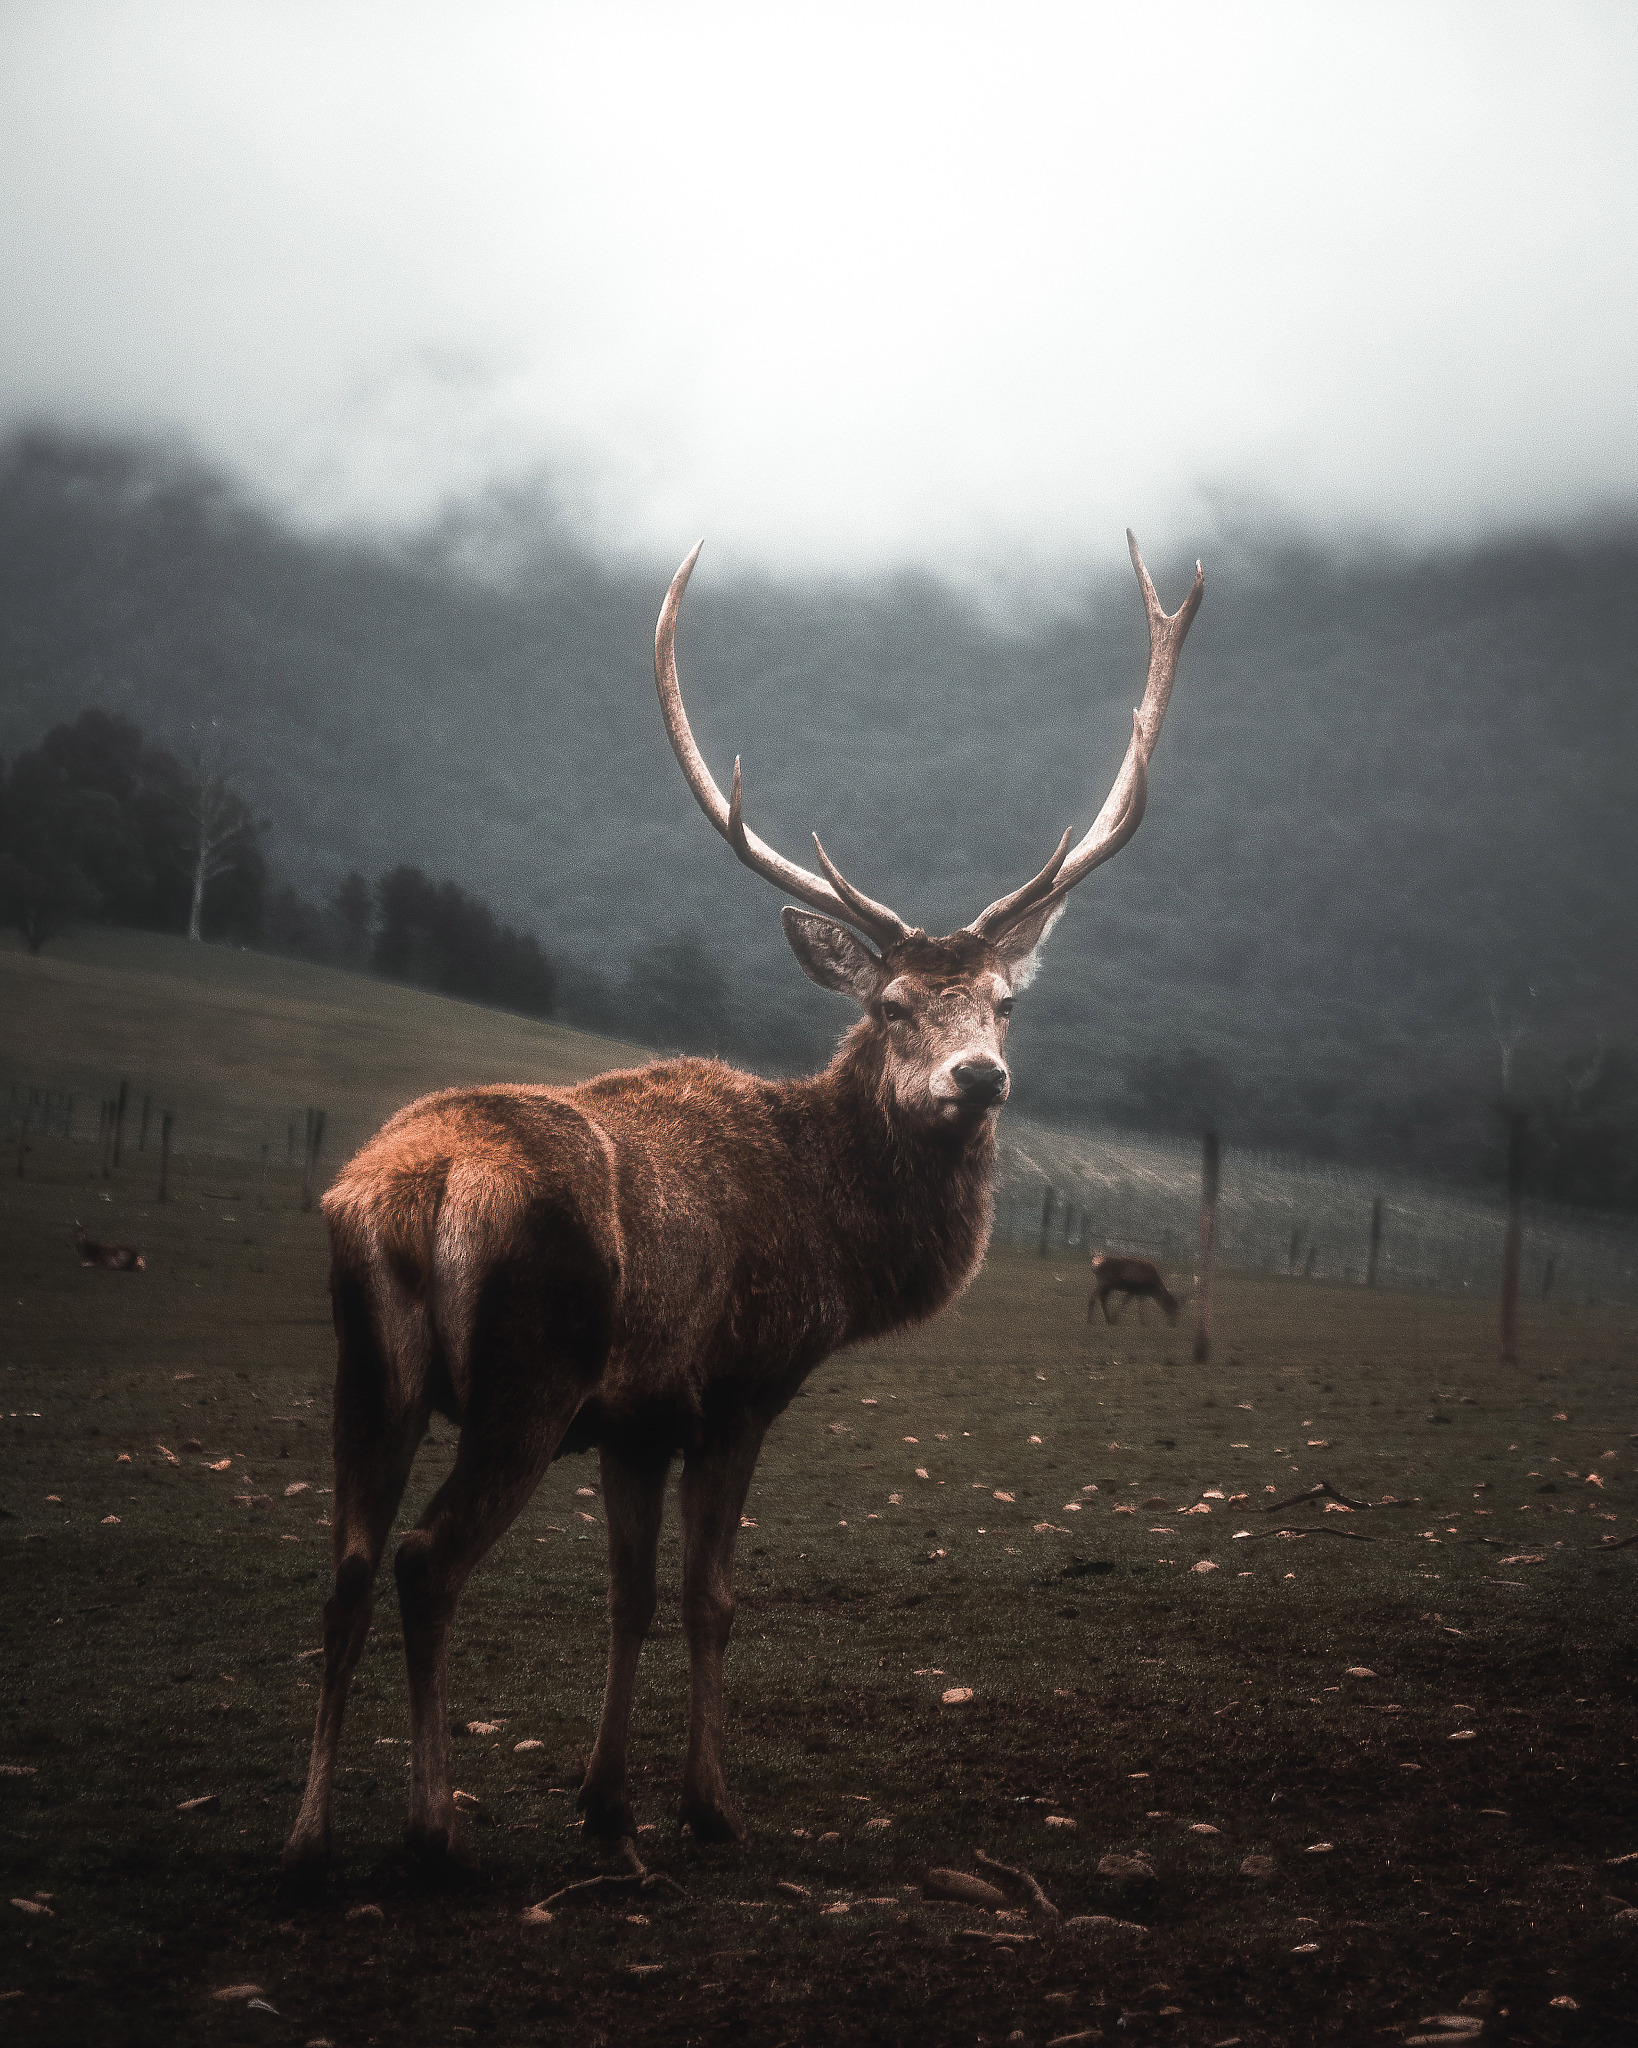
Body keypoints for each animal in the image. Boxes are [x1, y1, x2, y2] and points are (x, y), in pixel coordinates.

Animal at [282, 531, 1203, 1877]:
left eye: (1003, 1002)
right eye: (891, 1006)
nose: (977, 1077)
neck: (837, 1242)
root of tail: (416, 1187)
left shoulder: (633, 1419)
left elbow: (629, 1595)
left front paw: (606, 1800)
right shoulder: (738, 1384)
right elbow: (711, 1595)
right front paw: (711, 1805)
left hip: (370, 1366)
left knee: (346, 1559)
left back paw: (305, 1833)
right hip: (522, 1376)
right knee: (422, 1558)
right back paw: (432, 1822)